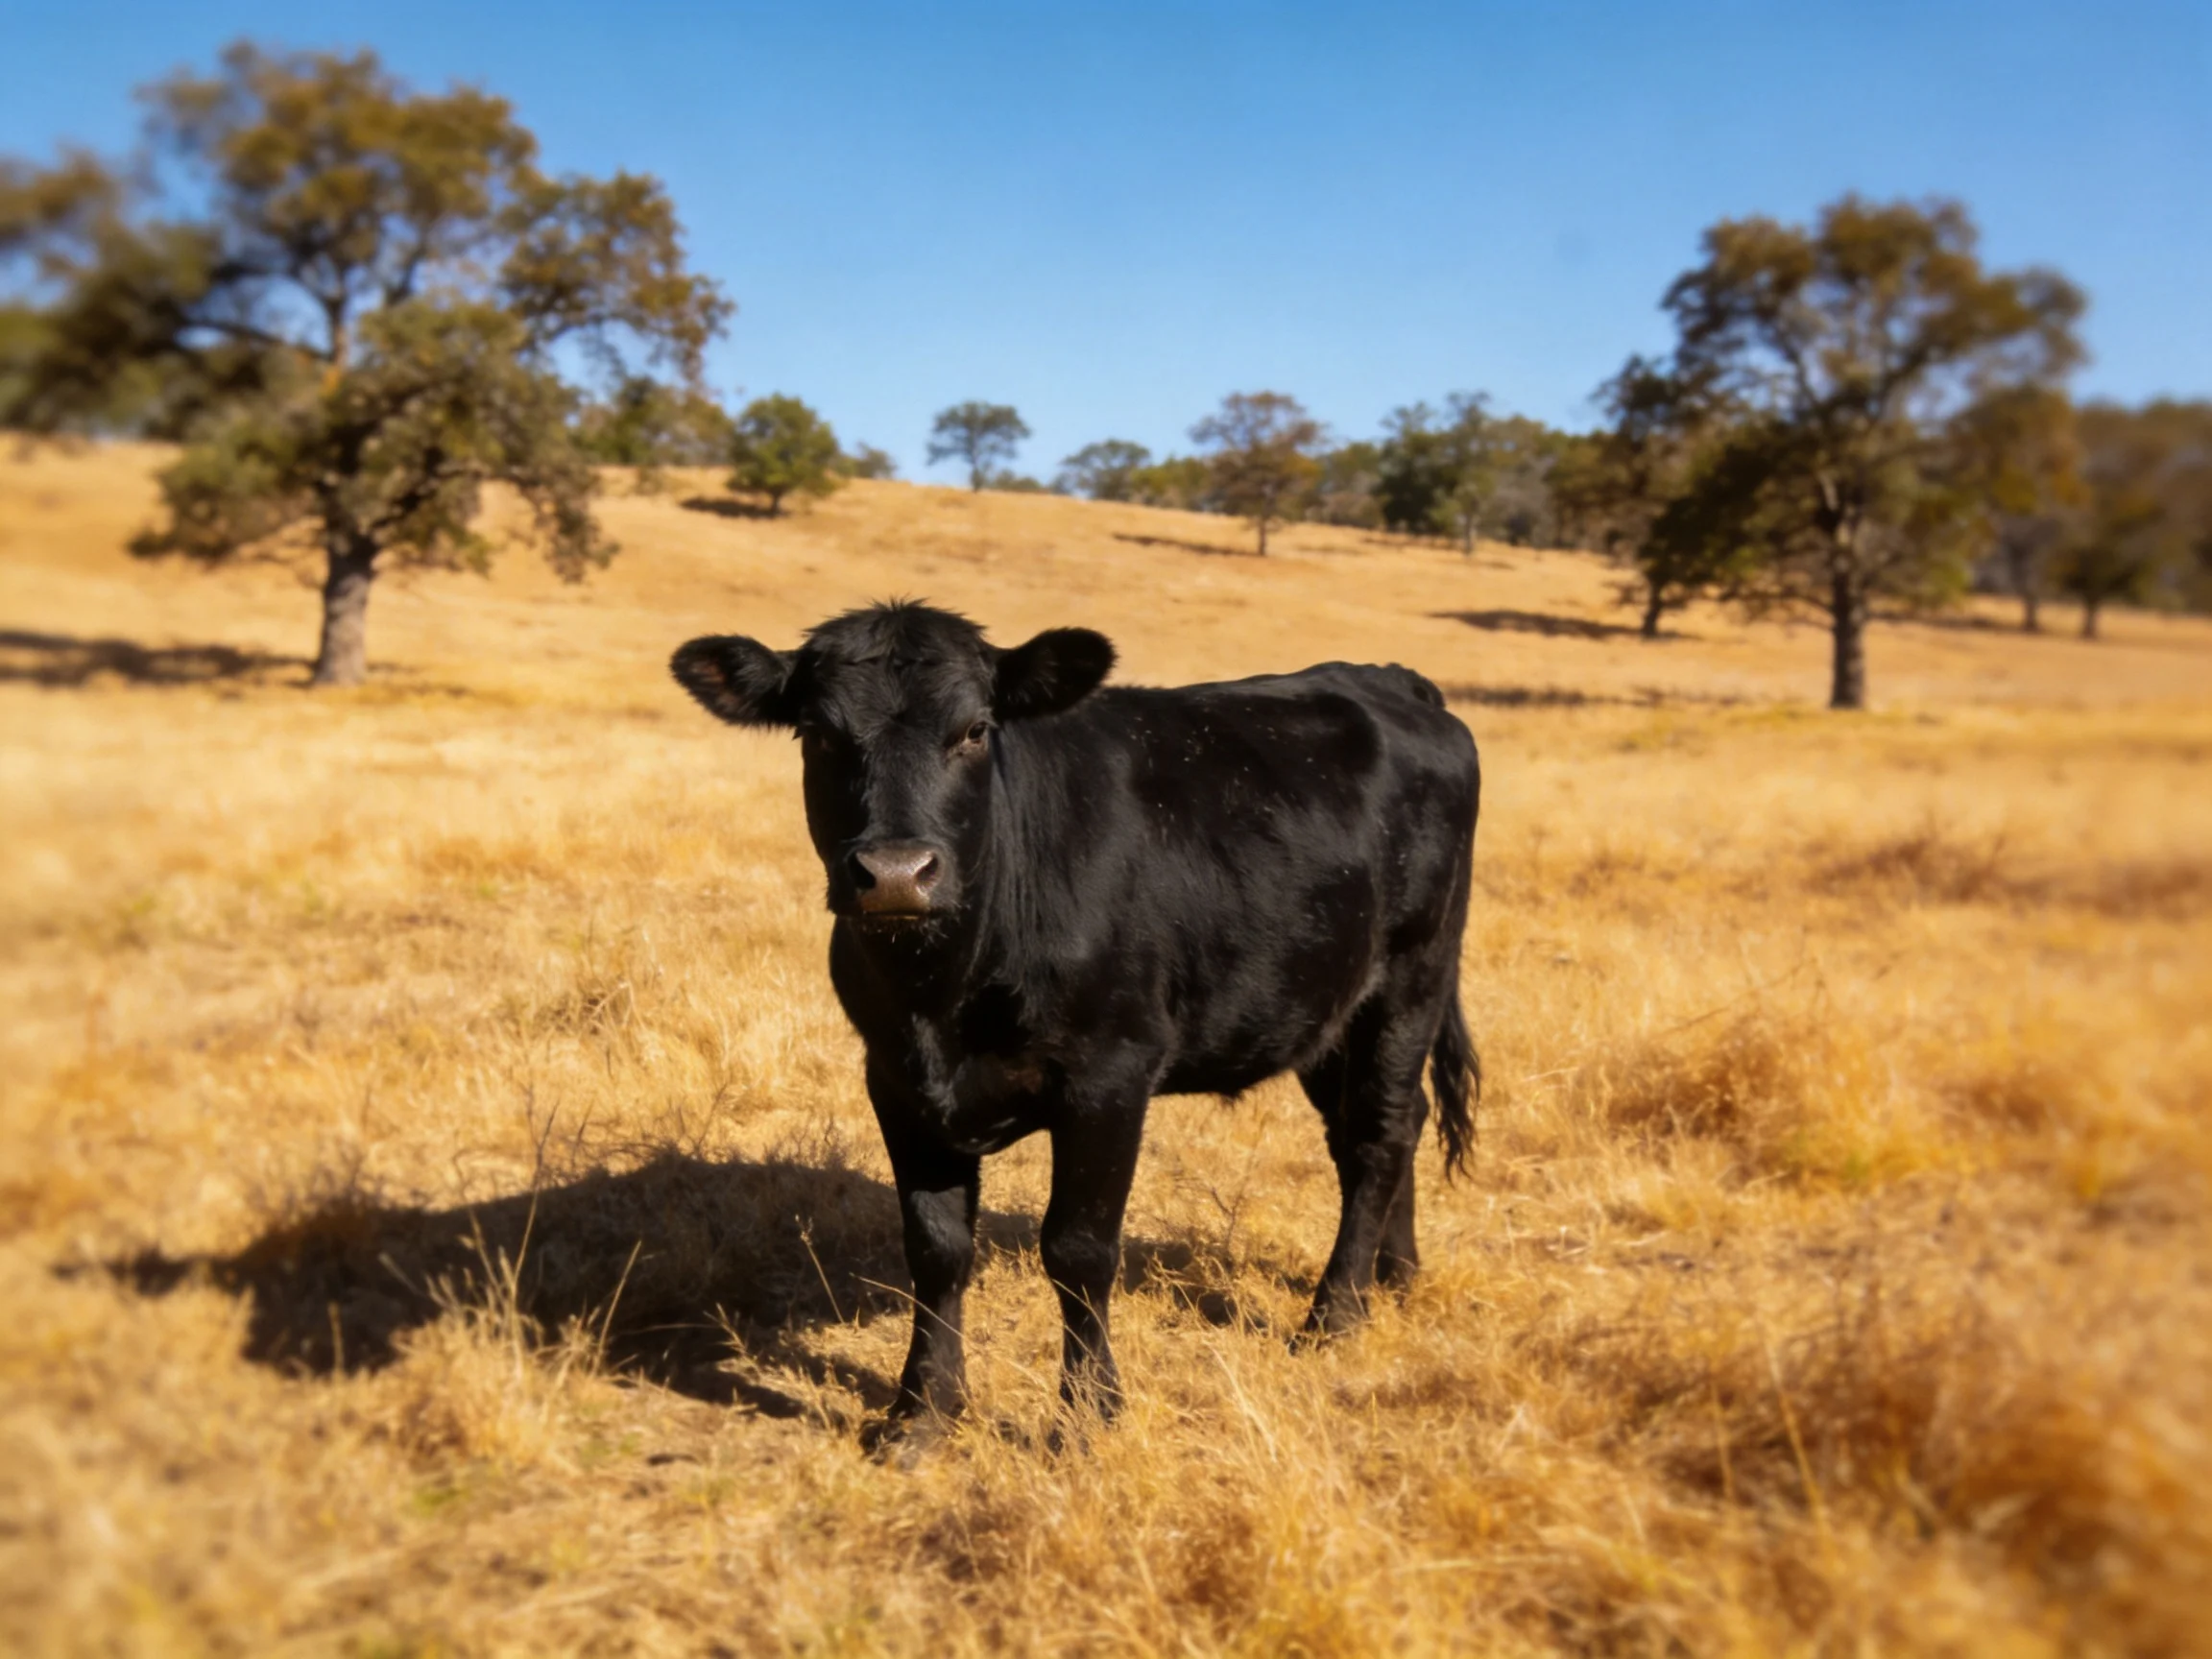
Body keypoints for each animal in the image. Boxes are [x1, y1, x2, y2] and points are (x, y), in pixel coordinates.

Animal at [671, 601, 1479, 1447]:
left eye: (976, 729)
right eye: (819, 733)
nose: (896, 874)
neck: (944, 992)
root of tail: (1388, 678)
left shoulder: (1110, 1076)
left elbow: (1078, 1249)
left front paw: (1089, 1414)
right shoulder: (894, 1078)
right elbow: (935, 1247)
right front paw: (922, 1409)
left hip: (1412, 976)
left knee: (1380, 1134)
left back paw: (1336, 1315)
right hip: (1322, 1006)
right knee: (1380, 1127)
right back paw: (1395, 1275)